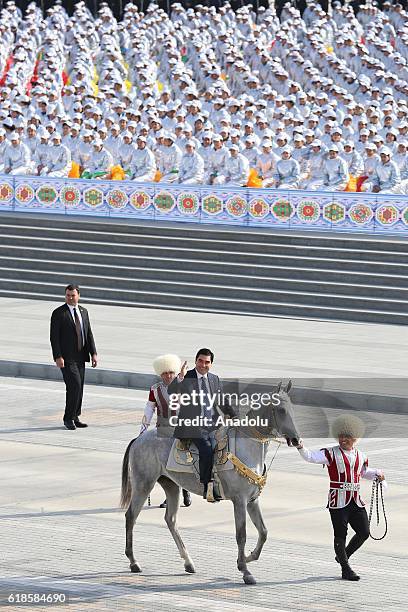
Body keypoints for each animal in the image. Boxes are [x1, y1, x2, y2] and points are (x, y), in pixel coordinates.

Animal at [120, 380, 300, 584]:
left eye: (292, 408)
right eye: (281, 410)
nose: (296, 439)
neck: (248, 447)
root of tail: (139, 438)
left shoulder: (252, 501)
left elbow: (263, 532)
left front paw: (247, 557)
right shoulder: (240, 501)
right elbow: (241, 535)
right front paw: (245, 570)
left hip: (171, 485)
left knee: (170, 520)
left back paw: (188, 562)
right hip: (143, 485)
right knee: (131, 516)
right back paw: (134, 562)